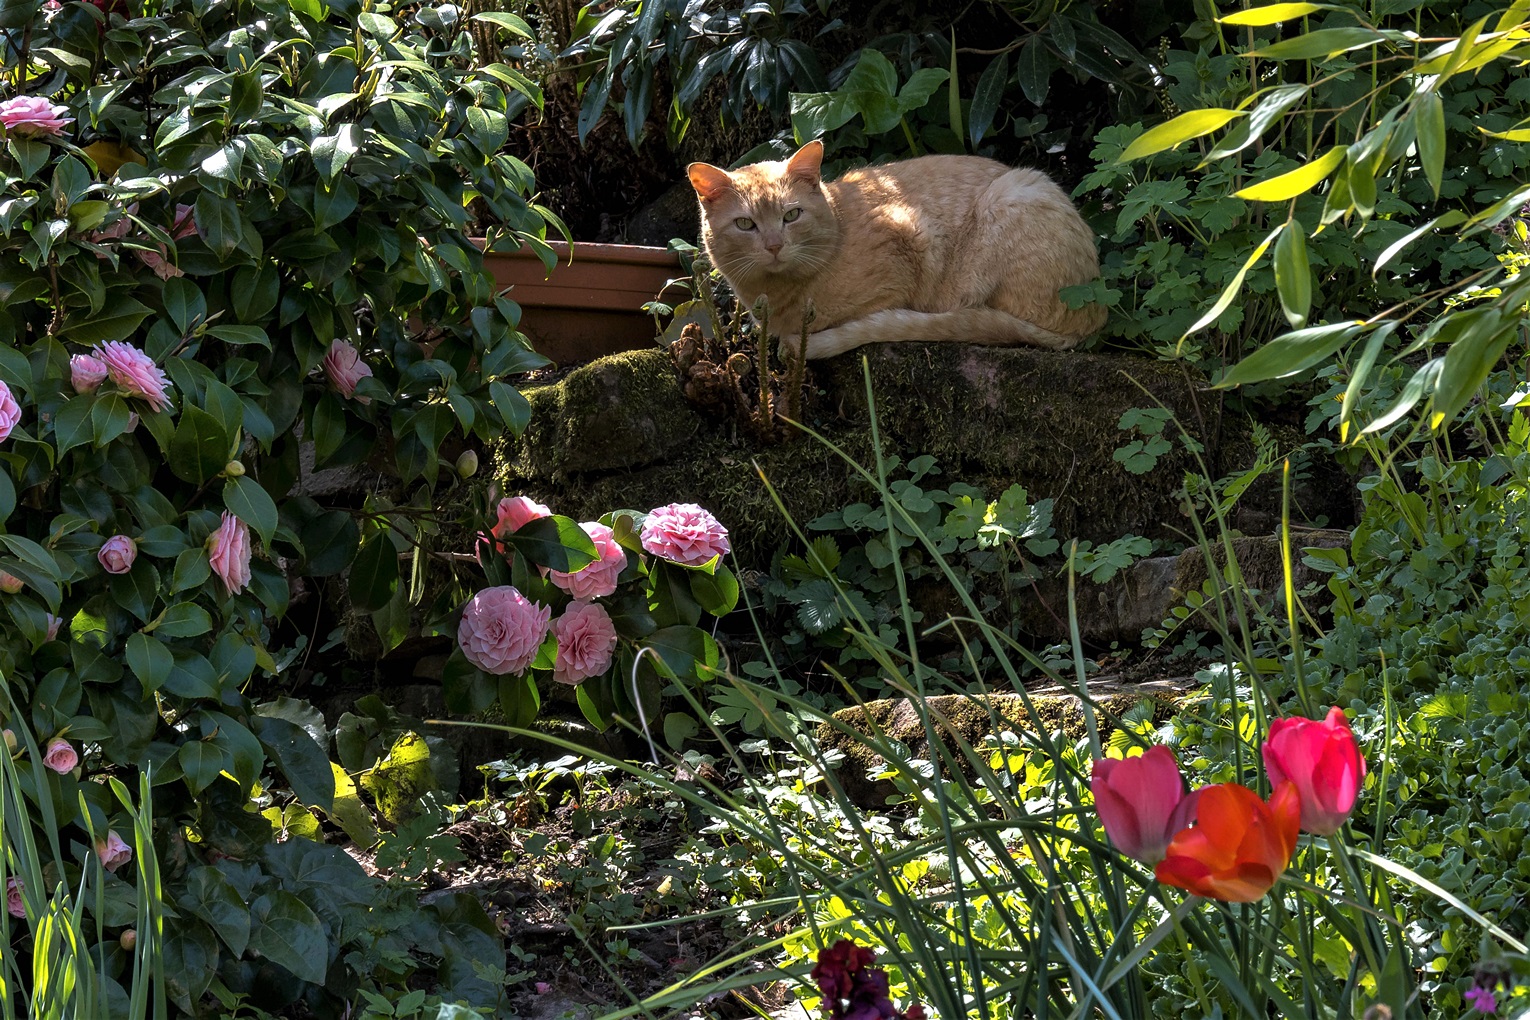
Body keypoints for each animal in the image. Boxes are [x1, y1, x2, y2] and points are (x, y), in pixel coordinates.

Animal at [688, 140, 1107, 359]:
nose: (774, 245)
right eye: (745, 224)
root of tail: (1091, 317)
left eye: (792, 215)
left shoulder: (909, 237)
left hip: (1012, 194)